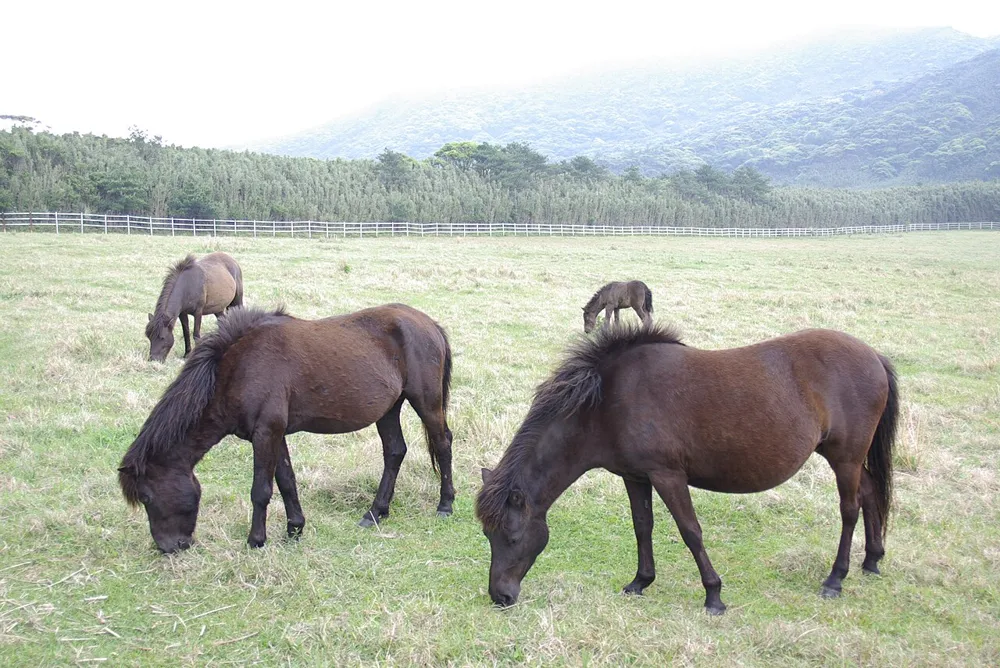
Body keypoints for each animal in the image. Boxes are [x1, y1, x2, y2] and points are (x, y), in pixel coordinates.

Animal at [119, 304, 455, 554]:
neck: (238, 367)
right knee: (395, 452)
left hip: (426, 402)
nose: (169, 547)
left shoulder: (265, 433)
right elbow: (286, 482)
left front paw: (256, 540)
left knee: (443, 444)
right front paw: (295, 528)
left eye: (146, 497)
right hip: (388, 409)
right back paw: (375, 513)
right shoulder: (274, 434)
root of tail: (429, 324)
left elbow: (261, 490)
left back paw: (445, 505)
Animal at [476, 323, 898, 614]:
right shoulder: (635, 476)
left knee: (850, 509)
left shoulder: (668, 476)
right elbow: (642, 526)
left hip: (844, 458)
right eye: (487, 536)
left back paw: (835, 579)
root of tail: (874, 355)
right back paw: (872, 560)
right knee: (870, 493)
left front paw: (714, 595)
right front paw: (640, 582)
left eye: (512, 537)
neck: (607, 401)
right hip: (848, 458)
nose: (500, 596)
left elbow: (690, 531)